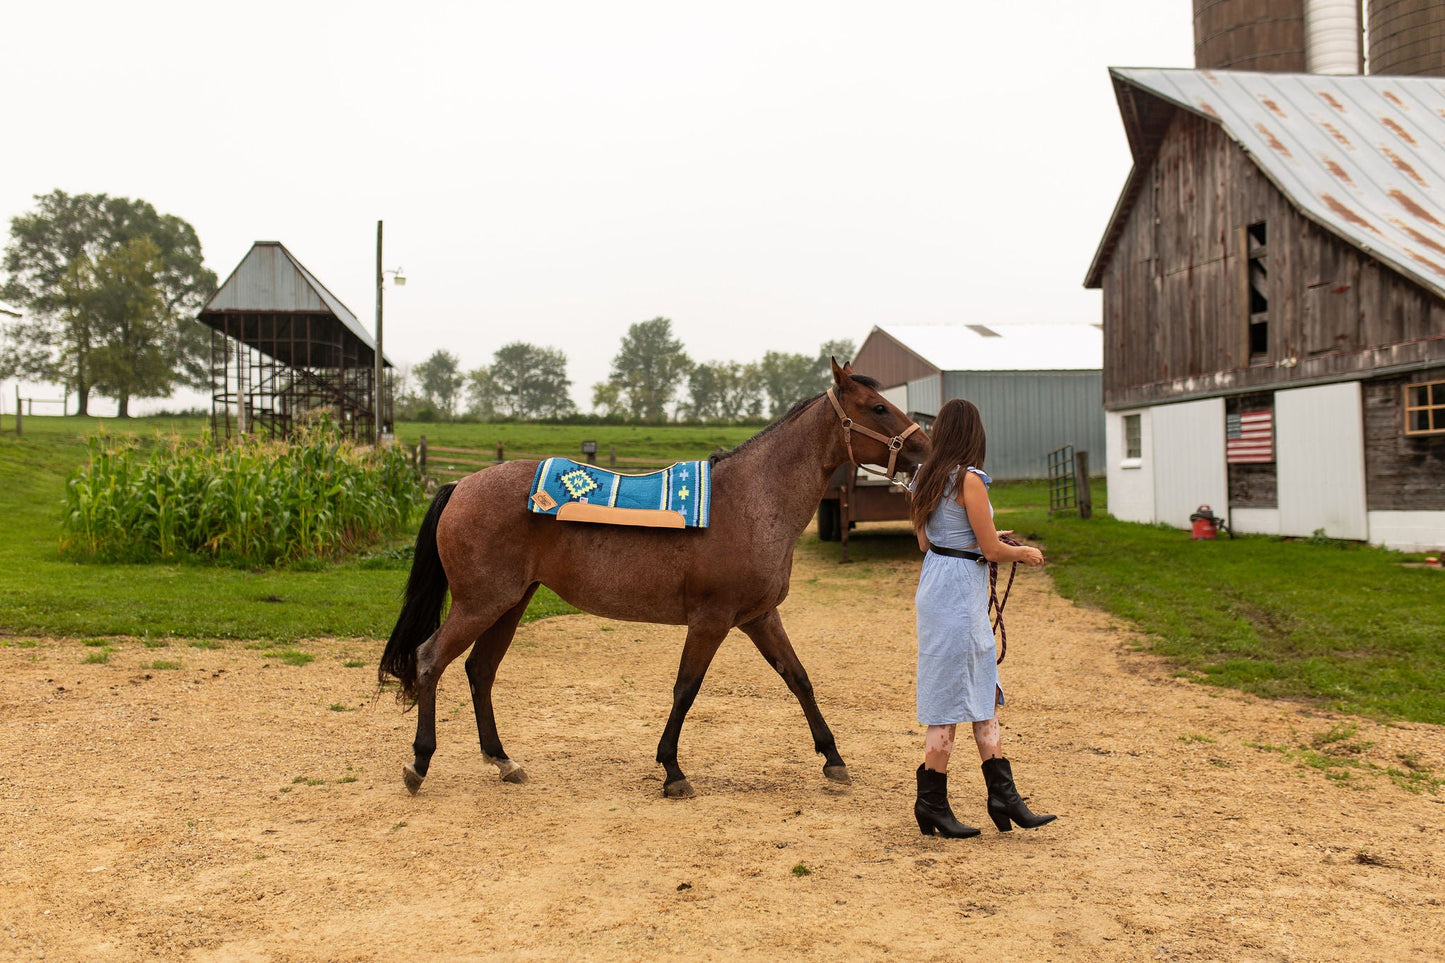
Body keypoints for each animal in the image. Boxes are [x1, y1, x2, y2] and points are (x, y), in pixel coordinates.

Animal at [378, 360, 930, 792]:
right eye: (877, 407)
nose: (926, 445)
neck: (752, 500)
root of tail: (461, 484)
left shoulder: (760, 617)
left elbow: (799, 679)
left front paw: (833, 759)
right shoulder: (711, 620)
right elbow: (686, 688)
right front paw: (672, 770)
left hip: (510, 603)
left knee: (480, 671)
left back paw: (503, 760)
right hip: (480, 603)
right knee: (430, 661)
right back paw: (420, 762)